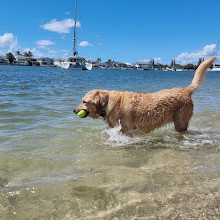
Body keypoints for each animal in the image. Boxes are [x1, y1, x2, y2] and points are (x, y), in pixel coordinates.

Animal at [75, 57, 216, 133]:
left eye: (84, 101)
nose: (73, 110)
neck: (108, 103)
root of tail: (186, 90)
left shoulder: (127, 130)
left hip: (180, 123)